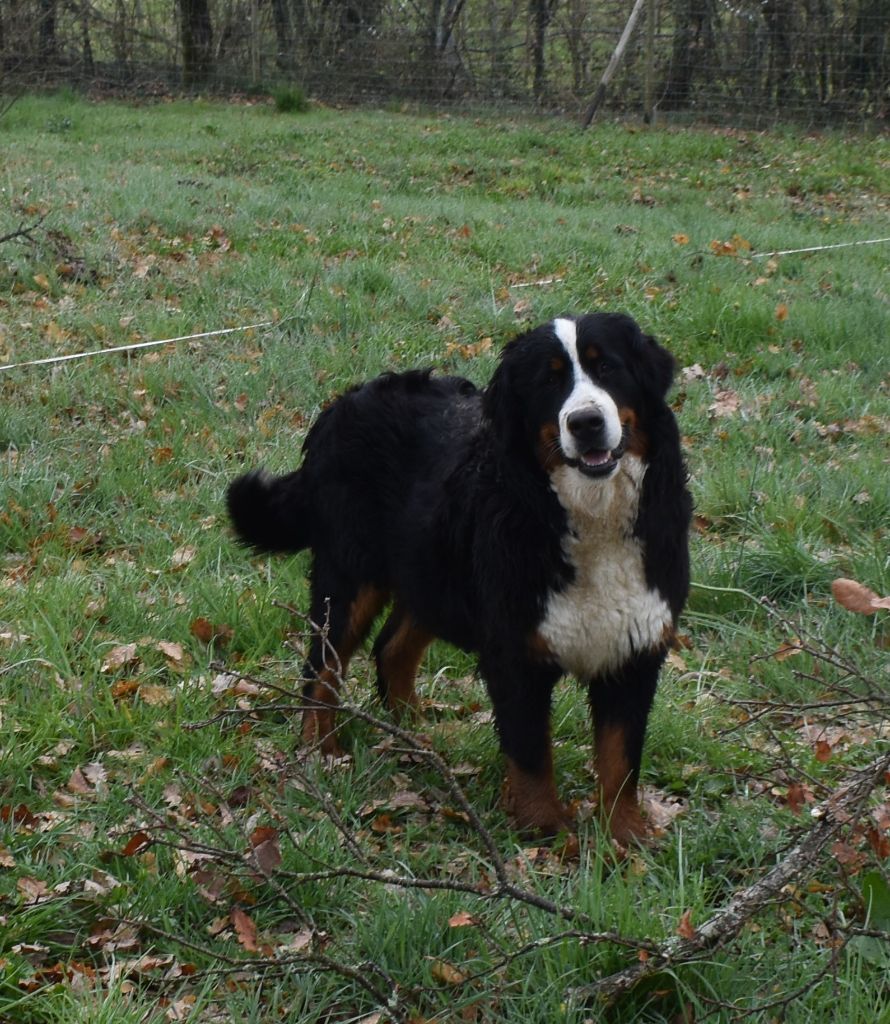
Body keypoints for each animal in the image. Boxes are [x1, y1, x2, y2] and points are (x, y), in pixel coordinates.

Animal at [227, 315, 688, 843]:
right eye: (549, 382)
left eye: (607, 367)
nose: (585, 422)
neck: (592, 518)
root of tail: (344, 402)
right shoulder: (515, 652)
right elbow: (531, 754)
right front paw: (546, 832)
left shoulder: (634, 645)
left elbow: (620, 759)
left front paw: (625, 836)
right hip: (349, 578)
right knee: (320, 670)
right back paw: (321, 755)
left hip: (432, 577)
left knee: (391, 650)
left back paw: (417, 737)